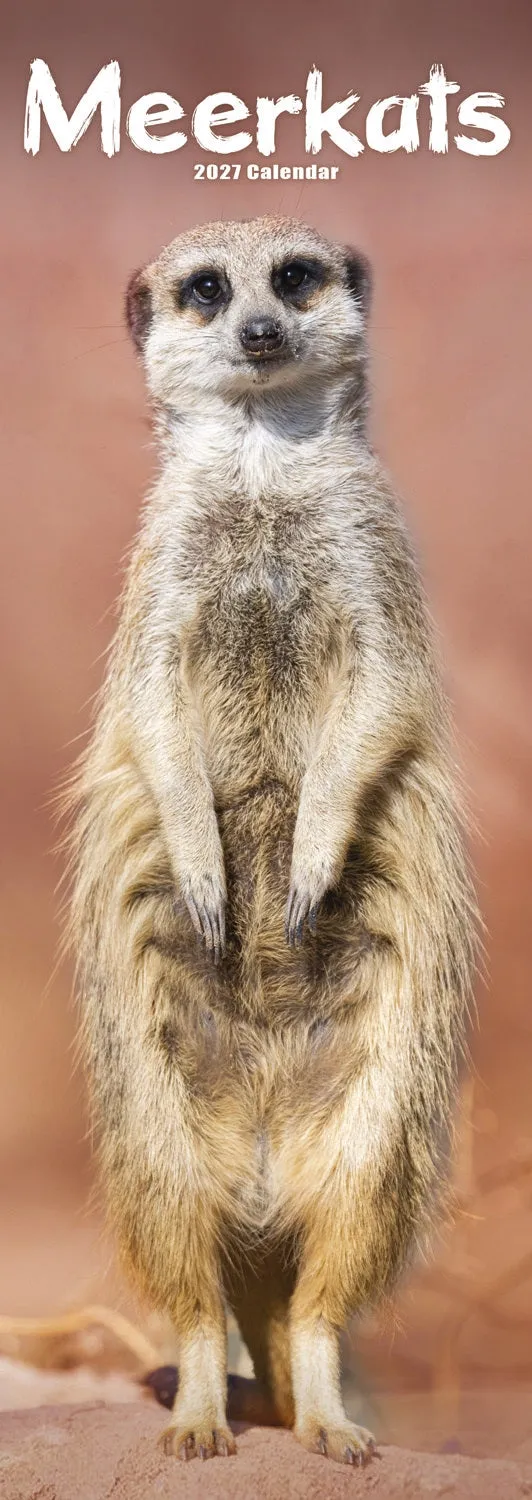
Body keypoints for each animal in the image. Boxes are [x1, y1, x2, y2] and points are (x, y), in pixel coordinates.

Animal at [67, 215, 476, 1466]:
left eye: (293, 278)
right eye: (206, 289)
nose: (257, 328)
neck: (259, 474)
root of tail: (258, 1179)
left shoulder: (375, 559)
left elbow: (383, 694)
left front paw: (309, 856)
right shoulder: (158, 576)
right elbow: (152, 706)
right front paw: (210, 870)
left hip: (382, 1126)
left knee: (326, 1287)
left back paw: (328, 1415)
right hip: (149, 1127)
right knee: (191, 1280)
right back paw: (202, 1408)